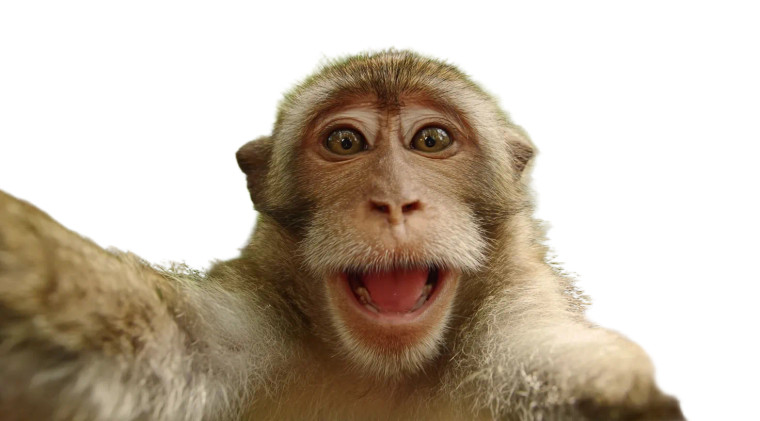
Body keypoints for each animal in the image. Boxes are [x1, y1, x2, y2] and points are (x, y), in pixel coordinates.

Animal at [0, 50, 683, 420]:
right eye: (346, 141)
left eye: (432, 138)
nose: (393, 201)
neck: (387, 373)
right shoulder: (226, 340)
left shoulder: (524, 344)